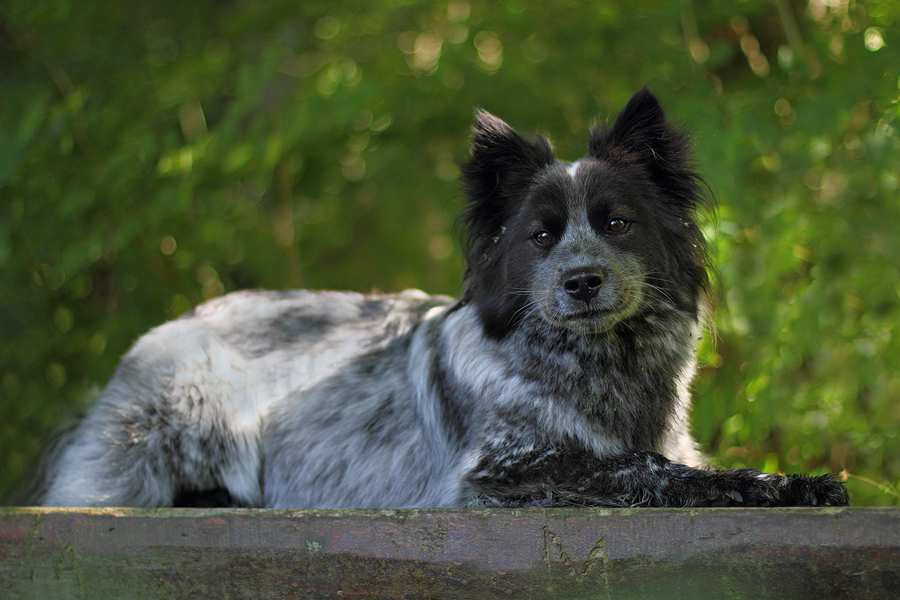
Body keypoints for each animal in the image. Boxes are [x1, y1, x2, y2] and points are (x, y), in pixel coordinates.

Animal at [37, 91, 852, 508]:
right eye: (541, 236)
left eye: (616, 223)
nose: (580, 281)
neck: (598, 365)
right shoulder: (504, 468)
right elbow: (648, 471)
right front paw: (777, 484)